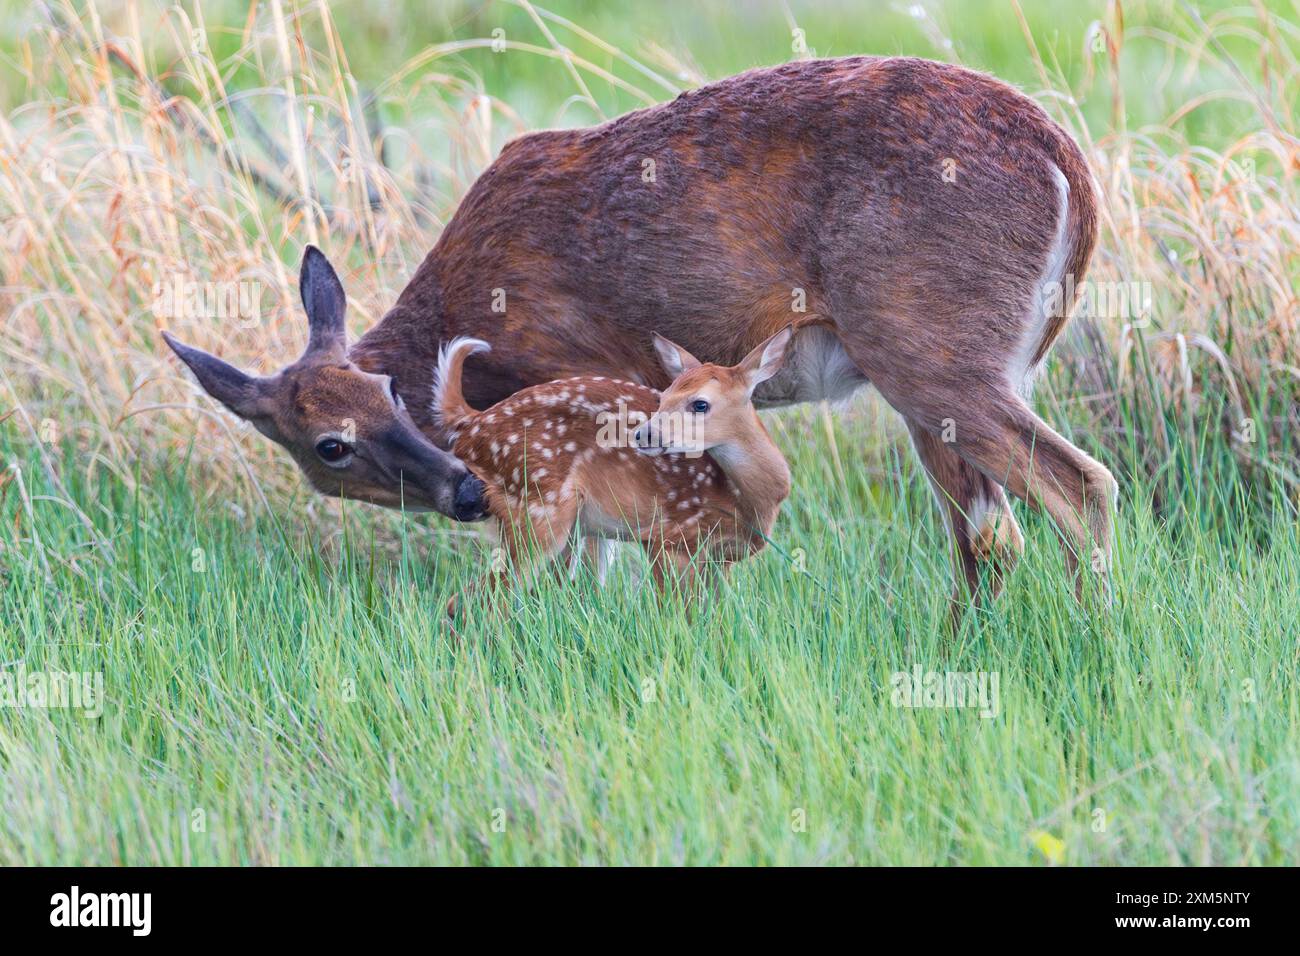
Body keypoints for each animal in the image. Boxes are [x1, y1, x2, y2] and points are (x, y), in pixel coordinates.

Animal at [434, 329, 790, 613]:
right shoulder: (667, 537)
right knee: (474, 601)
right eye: (663, 397)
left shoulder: (721, 561)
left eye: (699, 404)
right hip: (537, 506)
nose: (643, 434)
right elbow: (679, 615)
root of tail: (472, 424)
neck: (744, 500)